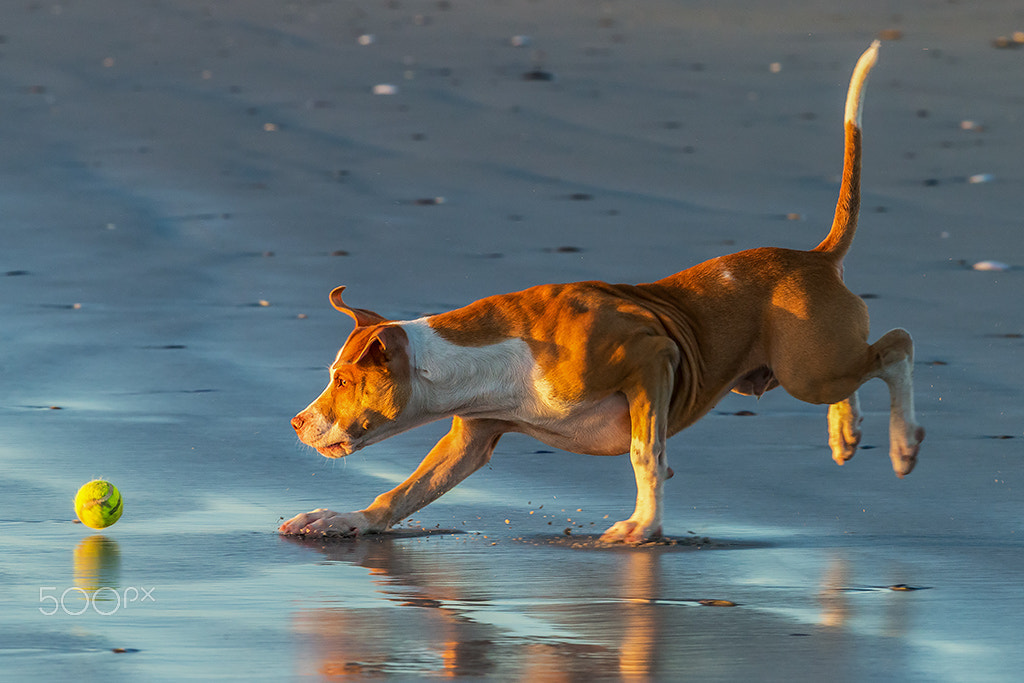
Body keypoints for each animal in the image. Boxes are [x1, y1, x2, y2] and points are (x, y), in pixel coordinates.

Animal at [282, 42, 929, 544]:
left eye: (344, 381)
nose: (295, 422)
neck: (476, 364)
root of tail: (813, 257)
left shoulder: (653, 358)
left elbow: (647, 455)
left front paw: (643, 526)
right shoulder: (471, 438)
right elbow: (405, 492)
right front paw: (343, 519)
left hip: (807, 367)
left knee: (897, 344)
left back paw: (902, 444)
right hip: (813, 364)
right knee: (860, 369)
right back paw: (847, 432)